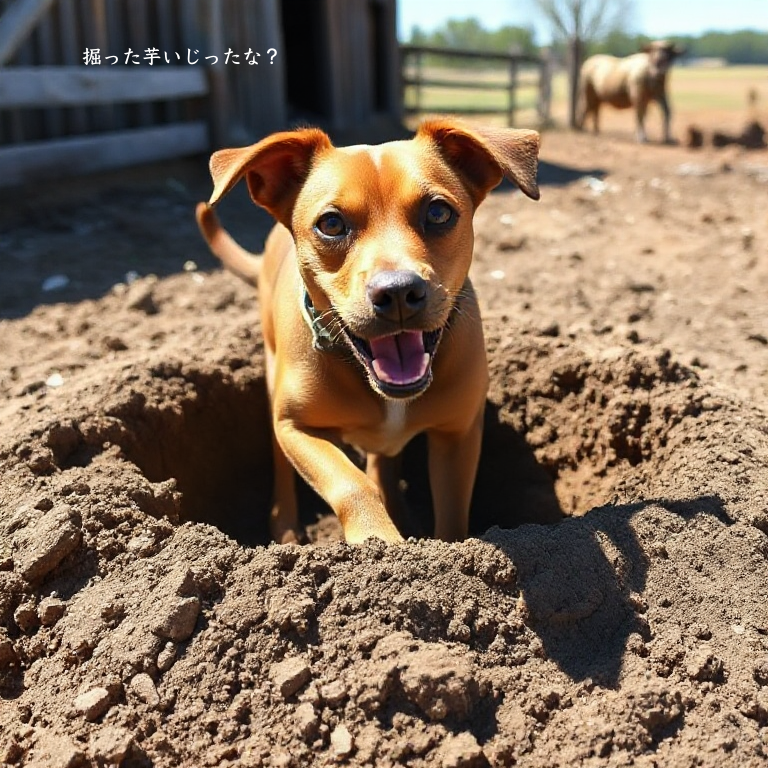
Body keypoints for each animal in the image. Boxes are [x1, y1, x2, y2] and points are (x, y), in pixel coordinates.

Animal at [198, 120, 540, 544]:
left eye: (438, 212)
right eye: (330, 224)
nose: (398, 291)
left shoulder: (458, 434)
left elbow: (453, 515)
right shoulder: (295, 426)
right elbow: (350, 483)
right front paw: (377, 539)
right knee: (283, 465)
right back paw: (286, 526)